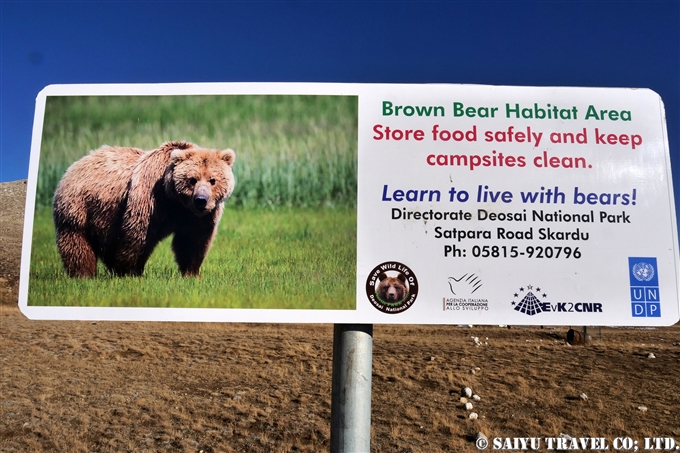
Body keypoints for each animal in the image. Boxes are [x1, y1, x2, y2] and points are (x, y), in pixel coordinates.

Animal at [52, 140, 236, 276]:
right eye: (192, 179)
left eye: (213, 180)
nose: (201, 200)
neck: (174, 200)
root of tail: (76, 164)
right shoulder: (149, 198)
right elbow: (137, 234)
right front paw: (130, 271)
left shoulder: (197, 217)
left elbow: (192, 240)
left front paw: (191, 273)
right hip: (78, 206)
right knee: (77, 244)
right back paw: (84, 274)